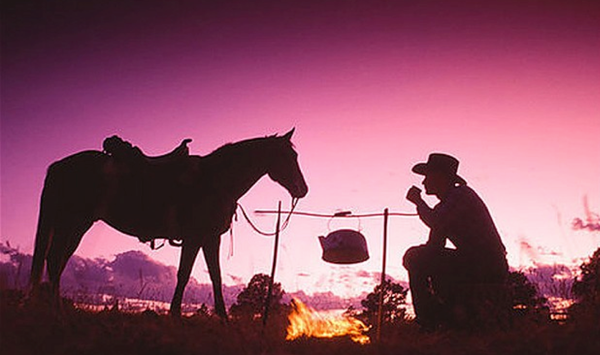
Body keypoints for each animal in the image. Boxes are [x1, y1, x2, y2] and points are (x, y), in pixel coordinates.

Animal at [29, 129, 308, 318]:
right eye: (289, 155)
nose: (302, 189)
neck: (214, 181)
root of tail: (59, 165)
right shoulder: (195, 238)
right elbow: (184, 275)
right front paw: (175, 317)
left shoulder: (209, 238)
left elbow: (215, 277)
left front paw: (223, 320)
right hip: (70, 222)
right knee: (54, 259)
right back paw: (56, 312)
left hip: (77, 224)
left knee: (58, 261)